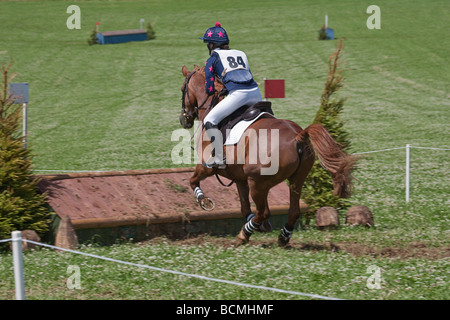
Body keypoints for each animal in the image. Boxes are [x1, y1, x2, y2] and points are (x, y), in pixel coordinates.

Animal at [178, 64, 356, 245]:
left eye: (182, 89)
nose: (183, 119)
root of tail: (297, 136)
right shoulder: (240, 178)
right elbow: (244, 208)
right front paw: (260, 225)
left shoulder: (206, 167)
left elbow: (193, 182)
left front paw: (204, 201)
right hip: (294, 180)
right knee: (292, 211)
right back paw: (282, 237)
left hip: (257, 182)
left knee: (264, 212)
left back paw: (244, 234)